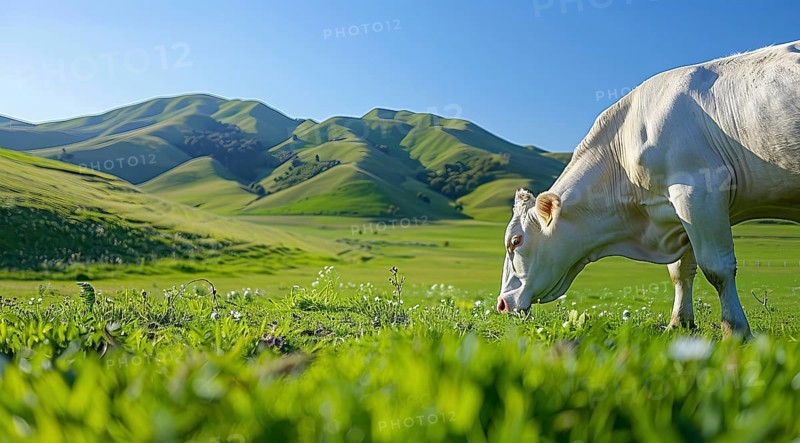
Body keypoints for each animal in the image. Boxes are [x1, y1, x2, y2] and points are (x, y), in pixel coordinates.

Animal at [497, 40, 800, 337]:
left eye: (516, 241)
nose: (501, 303)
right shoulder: (679, 210)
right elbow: (681, 271)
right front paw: (679, 322)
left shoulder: (697, 191)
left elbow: (717, 268)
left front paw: (735, 329)